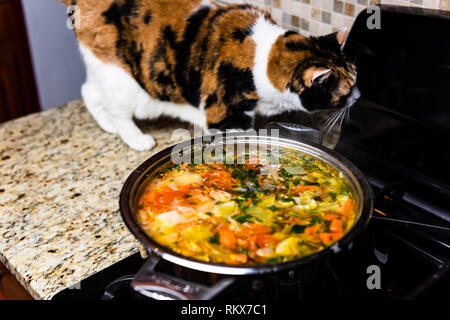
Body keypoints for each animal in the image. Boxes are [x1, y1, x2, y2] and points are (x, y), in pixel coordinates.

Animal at [61, 0, 360, 151]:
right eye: (345, 90)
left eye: (357, 76)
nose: (358, 96)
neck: (263, 56)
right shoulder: (225, 113)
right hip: (124, 80)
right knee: (118, 109)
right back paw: (136, 138)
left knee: (89, 91)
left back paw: (108, 124)